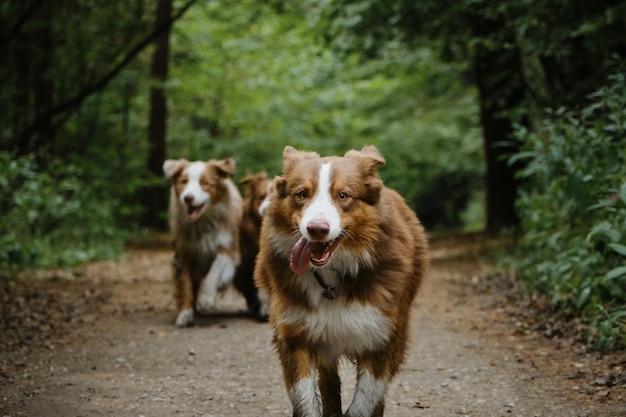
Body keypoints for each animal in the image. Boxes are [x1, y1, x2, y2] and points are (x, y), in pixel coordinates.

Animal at [162, 156, 243, 324]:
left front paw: (206, 298)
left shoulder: (229, 249)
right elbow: (185, 284)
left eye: (205, 183)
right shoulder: (182, 253)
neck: (202, 222)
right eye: (184, 182)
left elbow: (215, 270)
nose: (188, 198)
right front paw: (185, 313)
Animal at [255, 145, 428, 416]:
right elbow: (305, 398)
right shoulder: (294, 333)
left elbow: (365, 400)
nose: (316, 229)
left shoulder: (381, 335)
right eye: (302, 194)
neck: (331, 274)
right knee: (329, 383)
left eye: (343, 195)